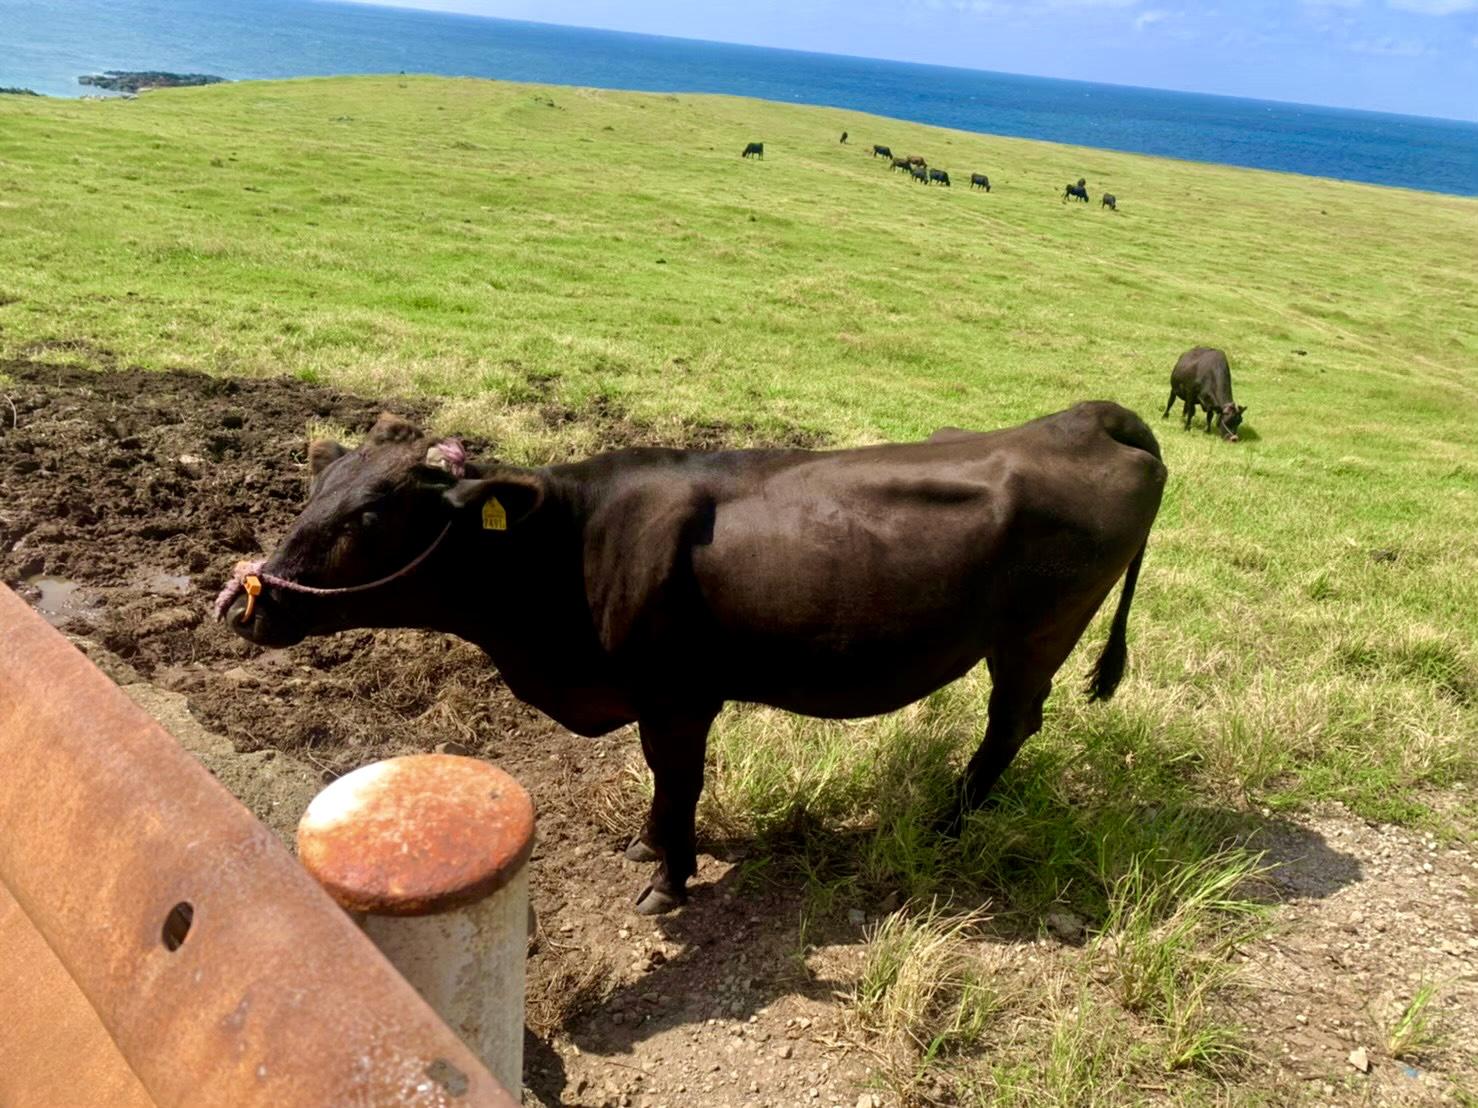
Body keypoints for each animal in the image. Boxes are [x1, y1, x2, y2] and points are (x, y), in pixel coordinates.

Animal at [221, 410, 1164, 921]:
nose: (242, 602)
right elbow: (663, 789)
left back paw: (948, 822)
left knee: (1010, 724)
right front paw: (646, 846)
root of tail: (1085, 417)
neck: (569, 551)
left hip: (1036, 635)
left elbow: (678, 784)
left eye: (371, 515)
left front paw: (669, 876)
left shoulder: (676, 697)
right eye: (312, 491)